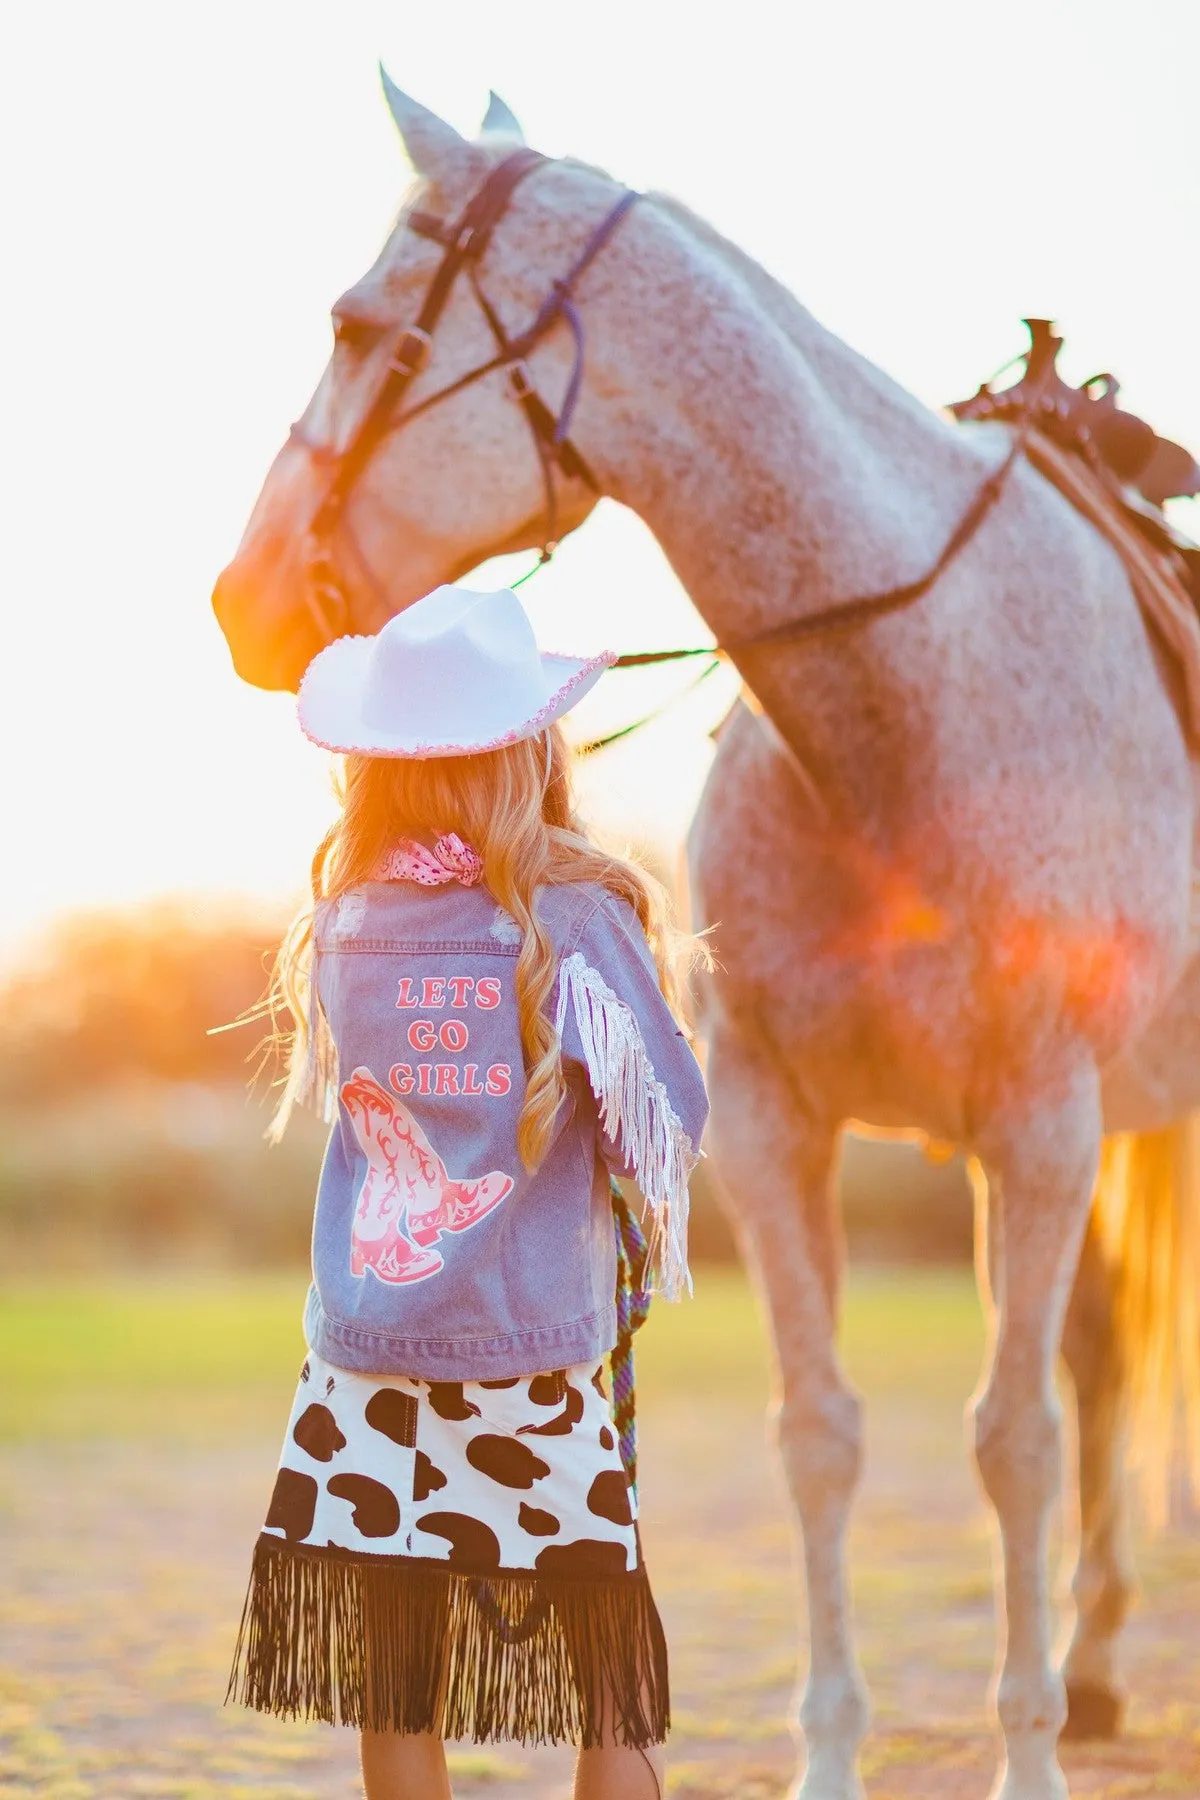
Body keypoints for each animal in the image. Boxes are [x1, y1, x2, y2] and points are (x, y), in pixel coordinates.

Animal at [213, 84, 1200, 1800]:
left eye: (355, 326)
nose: (240, 599)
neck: (909, 703)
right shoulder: (777, 1128)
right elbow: (823, 1436)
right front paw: (838, 1755)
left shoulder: (1040, 1127)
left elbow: (1010, 1442)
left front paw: (1020, 1760)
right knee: (1101, 1361)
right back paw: (1087, 1670)